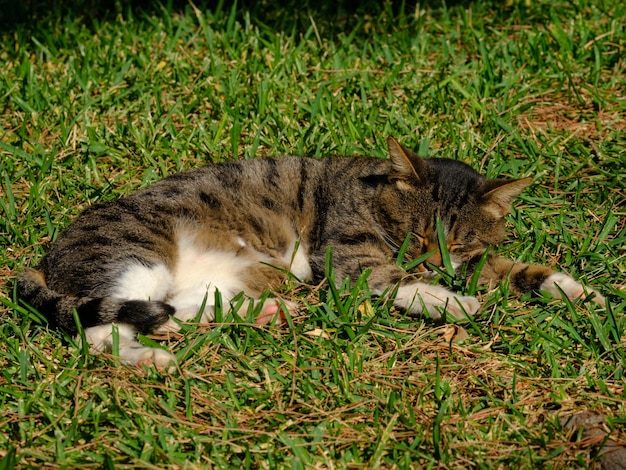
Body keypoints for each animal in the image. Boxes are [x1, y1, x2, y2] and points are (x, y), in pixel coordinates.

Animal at [17, 137, 604, 370]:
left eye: (456, 243)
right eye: (415, 238)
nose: (434, 264)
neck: (371, 192)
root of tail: (43, 261)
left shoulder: (475, 259)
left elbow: (509, 269)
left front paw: (573, 291)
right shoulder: (348, 255)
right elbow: (391, 277)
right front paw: (449, 300)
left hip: (212, 279)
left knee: (175, 308)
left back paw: (259, 313)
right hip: (135, 257)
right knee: (96, 332)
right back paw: (152, 358)